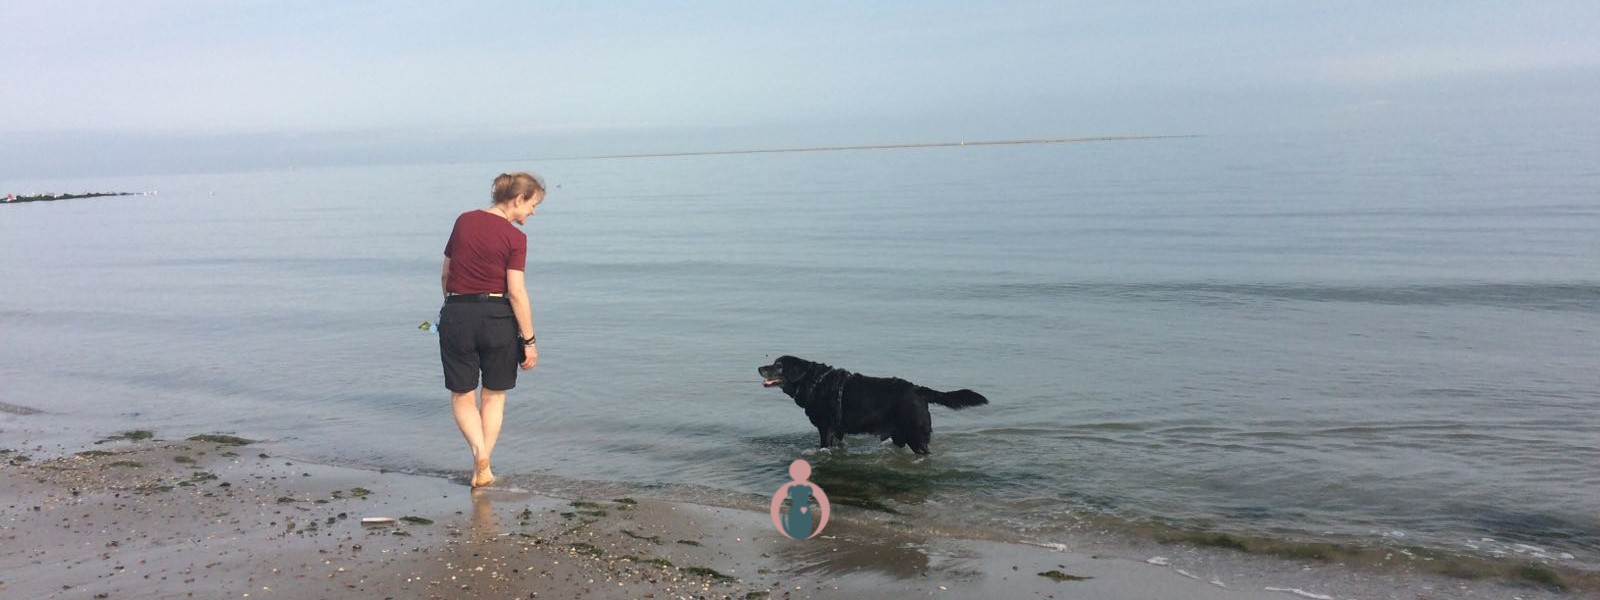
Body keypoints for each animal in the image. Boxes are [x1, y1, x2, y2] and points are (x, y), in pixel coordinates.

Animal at [752, 355, 985, 454]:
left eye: (778, 365)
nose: (759, 368)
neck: (814, 382)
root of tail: (918, 389)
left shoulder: (826, 428)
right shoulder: (838, 431)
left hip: (916, 434)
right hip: (900, 435)